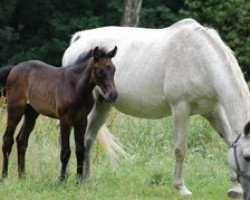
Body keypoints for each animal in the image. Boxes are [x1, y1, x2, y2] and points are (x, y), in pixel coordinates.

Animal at [0, 46, 117, 180]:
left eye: (114, 69)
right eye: (100, 71)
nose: (113, 95)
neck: (76, 86)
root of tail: (13, 68)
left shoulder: (81, 120)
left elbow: (80, 149)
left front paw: (79, 179)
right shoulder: (65, 120)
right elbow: (65, 151)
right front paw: (61, 179)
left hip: (31, 113)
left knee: (22, 140)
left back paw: (22, 176)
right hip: (15, 110)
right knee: (7, 139)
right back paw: (4, 176)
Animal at [62, 18, 250, 197]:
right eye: (247, 157)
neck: (199, 58)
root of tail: (79, 39)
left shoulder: (213, 111)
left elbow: (229, 142)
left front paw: (235, 189)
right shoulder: (180, 109)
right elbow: (180, 149)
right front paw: (180, 187)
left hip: (103, 105)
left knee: (88, 139)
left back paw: (86, 180)